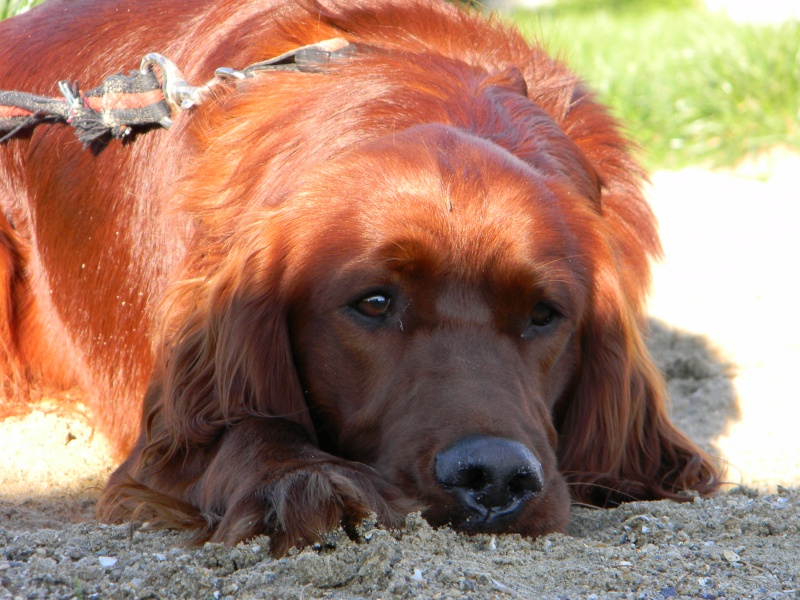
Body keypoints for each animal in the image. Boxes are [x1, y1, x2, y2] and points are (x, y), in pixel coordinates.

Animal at [0, 0, 720, 556]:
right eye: (373, 303)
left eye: (544, 314)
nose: (494, 476)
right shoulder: (169, 437)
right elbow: (245, 428)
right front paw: (305, 483)